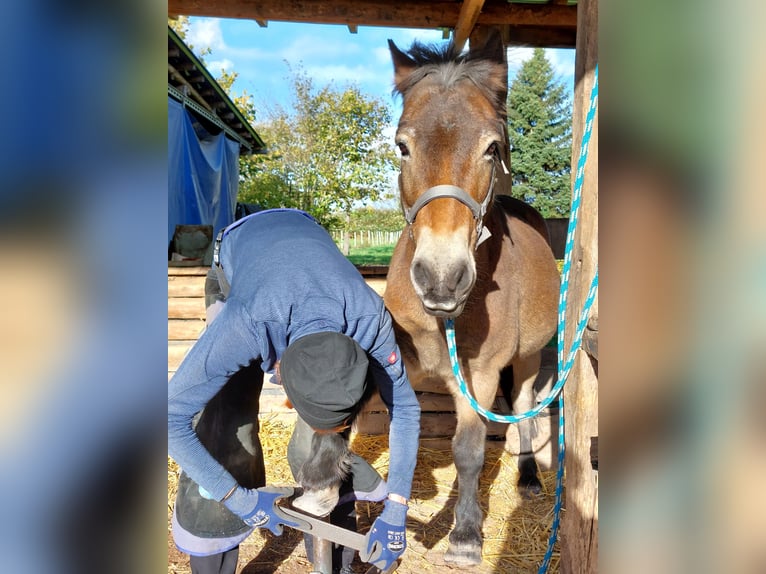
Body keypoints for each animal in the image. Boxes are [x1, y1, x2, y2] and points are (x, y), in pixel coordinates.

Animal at [383, 32, 560, 565]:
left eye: (492, 148)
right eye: (402, 146)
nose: (442, 278)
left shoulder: (478, 375)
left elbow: (469, 449)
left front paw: (464, 534)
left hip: (527, 358)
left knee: (524, 407)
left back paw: (528, 476)